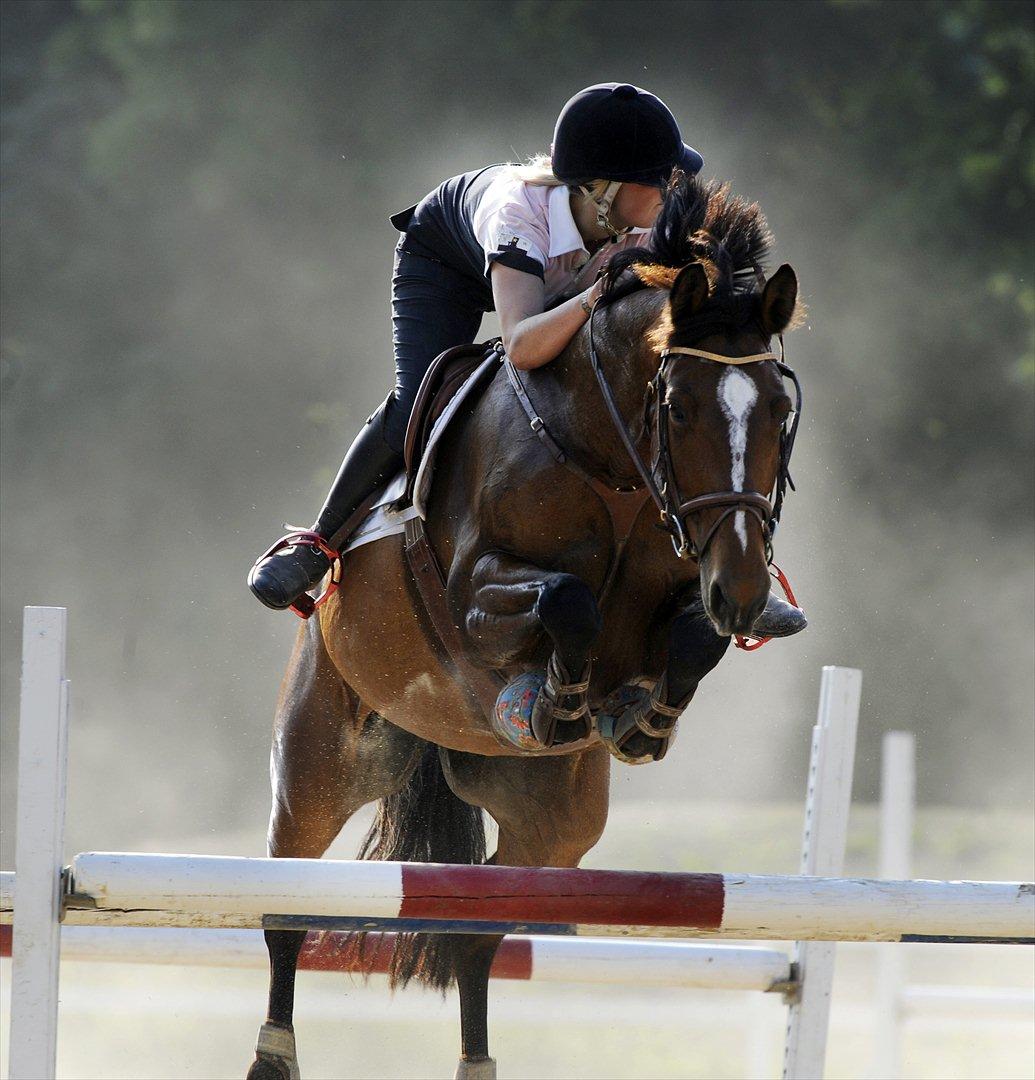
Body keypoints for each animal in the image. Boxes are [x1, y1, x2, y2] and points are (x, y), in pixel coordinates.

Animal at [249, 177, 803, 1080]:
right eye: (678, 406)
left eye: (782, 410)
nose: (747, 589)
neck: (610, 462)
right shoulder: (478, 594)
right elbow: (566, 600)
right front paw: (557, 703)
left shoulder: (686, 588)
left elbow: (693, 640)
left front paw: (635, 720)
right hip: (318, 764)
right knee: (284, 912)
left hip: (553, 824)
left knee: (481, 925)